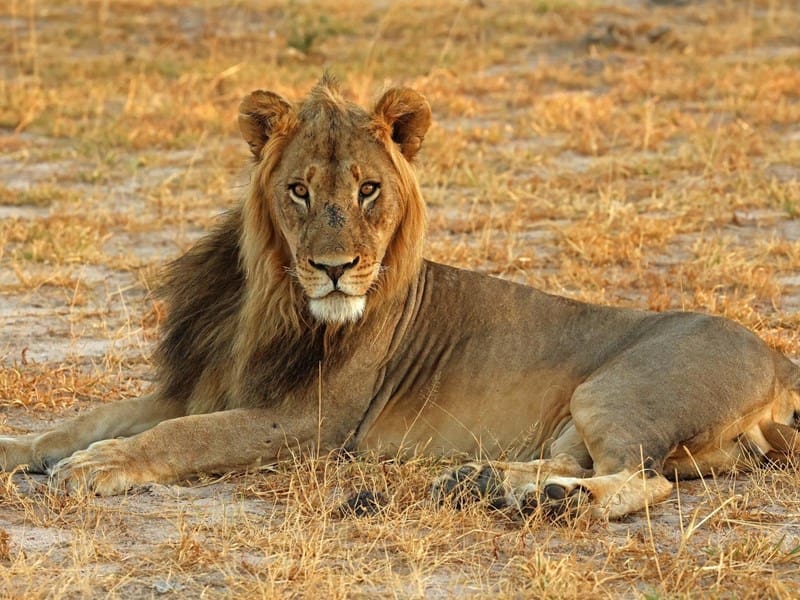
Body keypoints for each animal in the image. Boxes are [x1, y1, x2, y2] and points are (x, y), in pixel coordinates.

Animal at [1, 76, 798, 520]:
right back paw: (486, 485)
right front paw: (23, 449)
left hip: (617, 390)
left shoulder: (316, 422)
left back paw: (547, 505)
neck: (271, 300)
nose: (334, 267)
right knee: (588, 466)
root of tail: (778, 358)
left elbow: (182, 436)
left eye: (368, 189)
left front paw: (95, 468)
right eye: (299, 190)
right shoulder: (197, 385)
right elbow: (84, 422)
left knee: (641, 481)